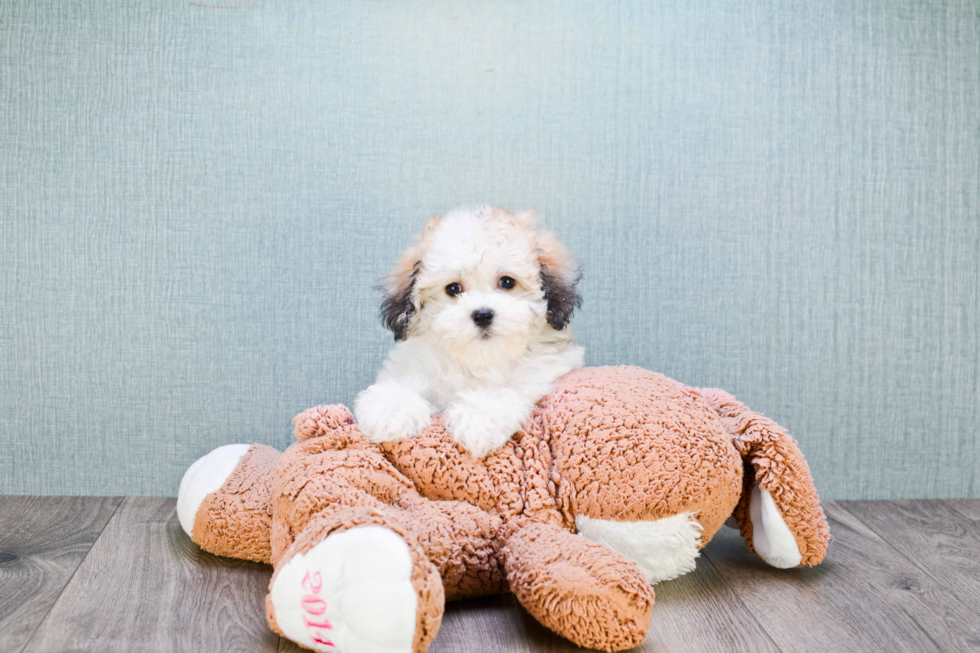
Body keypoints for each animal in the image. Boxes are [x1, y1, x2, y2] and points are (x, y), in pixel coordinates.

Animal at [356, 206, 580, 456]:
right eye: (453, 289)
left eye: (507, 282)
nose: (482, 315)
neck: (477, 358)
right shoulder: (418, 363)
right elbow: (404, 382)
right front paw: (392, 408)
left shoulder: (538, 372)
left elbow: (501, 392)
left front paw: (479, 415)